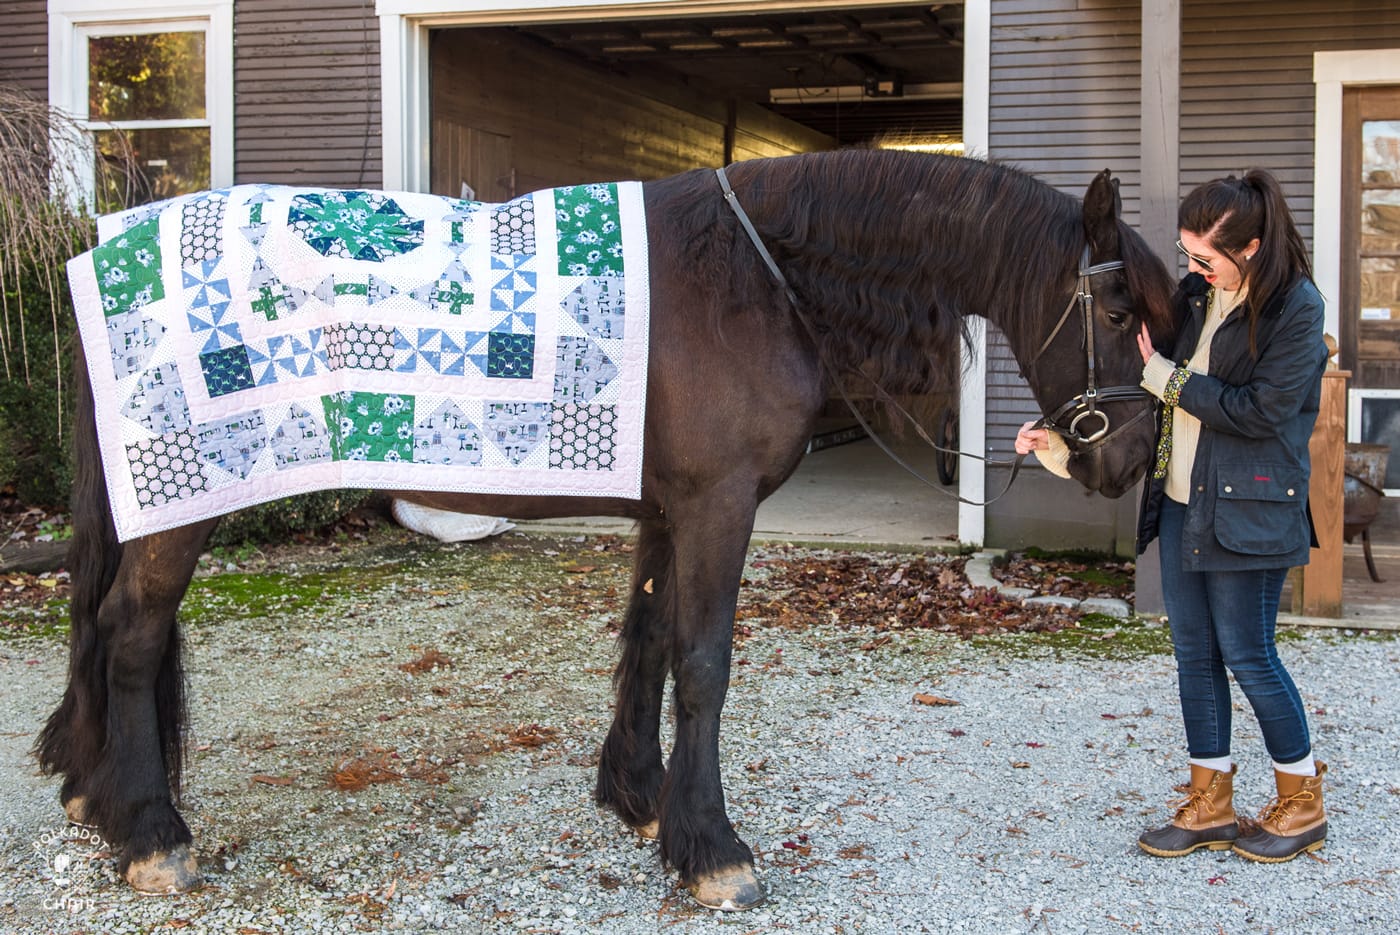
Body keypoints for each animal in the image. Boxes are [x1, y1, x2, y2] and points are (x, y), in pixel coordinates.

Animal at [38, 149, 1170, 907]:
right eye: (1120, 316)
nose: (1124, 465)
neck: (755, 278)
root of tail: (105, 246)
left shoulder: (669, 506)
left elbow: (653, 640)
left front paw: (641, 797)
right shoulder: (715, 504)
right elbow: (704, 662)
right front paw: (713, 847)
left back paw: (98, 794)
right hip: (184, 504)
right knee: (130, 635)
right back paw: (151, 832)